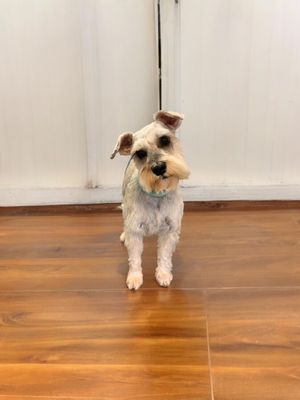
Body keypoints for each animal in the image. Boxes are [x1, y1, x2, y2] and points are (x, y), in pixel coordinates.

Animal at [110, 111, 190, 290]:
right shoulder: (135, 231)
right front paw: (134, 278)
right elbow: (134, 258)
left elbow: (165, 256)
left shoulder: (170, 231)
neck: (156, 195)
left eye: (165, 140)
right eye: (140, 153)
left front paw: (163, 275)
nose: (159, 167)